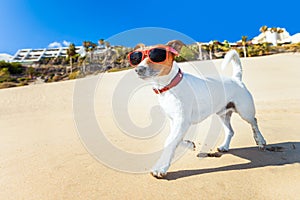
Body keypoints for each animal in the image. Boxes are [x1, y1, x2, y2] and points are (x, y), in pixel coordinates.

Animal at [127, 40, 266, 178]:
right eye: (137, 58)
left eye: (156, 55)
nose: (138, 69)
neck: (169, 86)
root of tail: (236, 79)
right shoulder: (175, 121)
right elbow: (176, 140)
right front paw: (189, 145)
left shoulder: (182, 121)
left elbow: (169, 142)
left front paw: (160, 168)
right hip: (223, 114)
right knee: (230, 131)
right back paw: (225, 146)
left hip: (245, 111)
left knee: (254, 122)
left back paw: (260, 141)